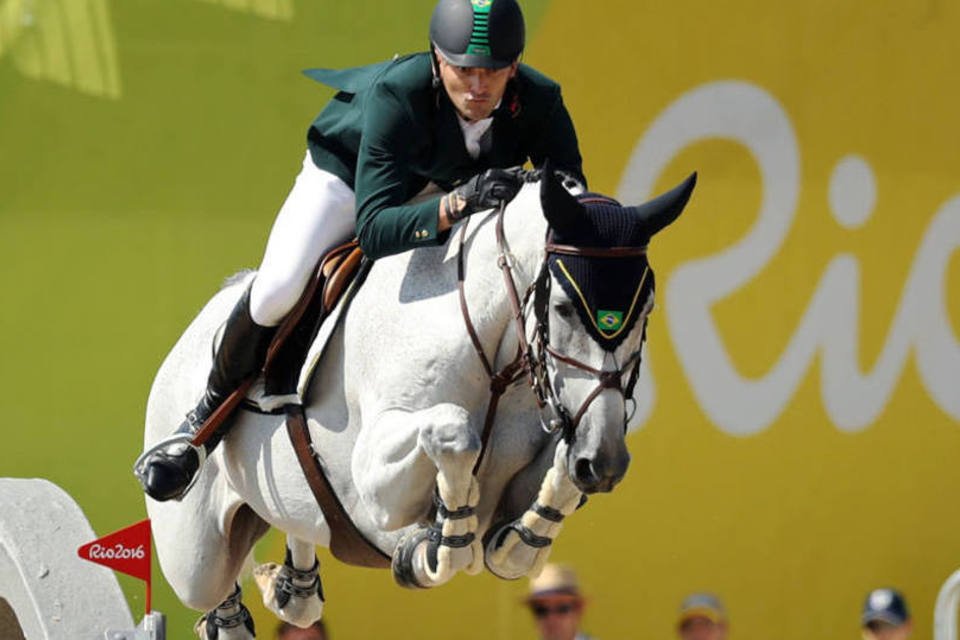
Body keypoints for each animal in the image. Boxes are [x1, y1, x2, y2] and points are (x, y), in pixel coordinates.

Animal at [142, 168, 692, 636]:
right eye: (561, 307)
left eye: (646, 309)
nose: (604, 462)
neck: (494, 351)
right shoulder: (372, 482)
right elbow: (452, 430)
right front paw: (437, 544)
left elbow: (538, 500)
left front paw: (514, 536)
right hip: (194, 556)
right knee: (212, 592)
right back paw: (179, 458)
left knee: (297, 585)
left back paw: (290, 583)